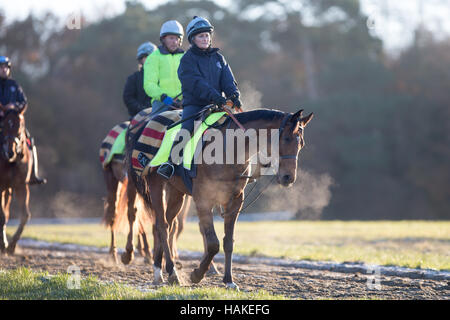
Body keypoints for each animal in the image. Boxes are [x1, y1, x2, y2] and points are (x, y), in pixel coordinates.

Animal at [126, 107, 312, 288]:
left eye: (301, 144)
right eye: (286, 138)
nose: (288, 177)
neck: (228, 151)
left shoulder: (235, 202)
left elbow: (228, 242)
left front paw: (229, 280)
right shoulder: (203, 201)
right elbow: (213, 243)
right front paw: (197, 274)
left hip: (177, 193)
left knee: (166, 224)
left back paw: (159, 271)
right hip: (156, 186)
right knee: (162, 226)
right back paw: (171, 272)